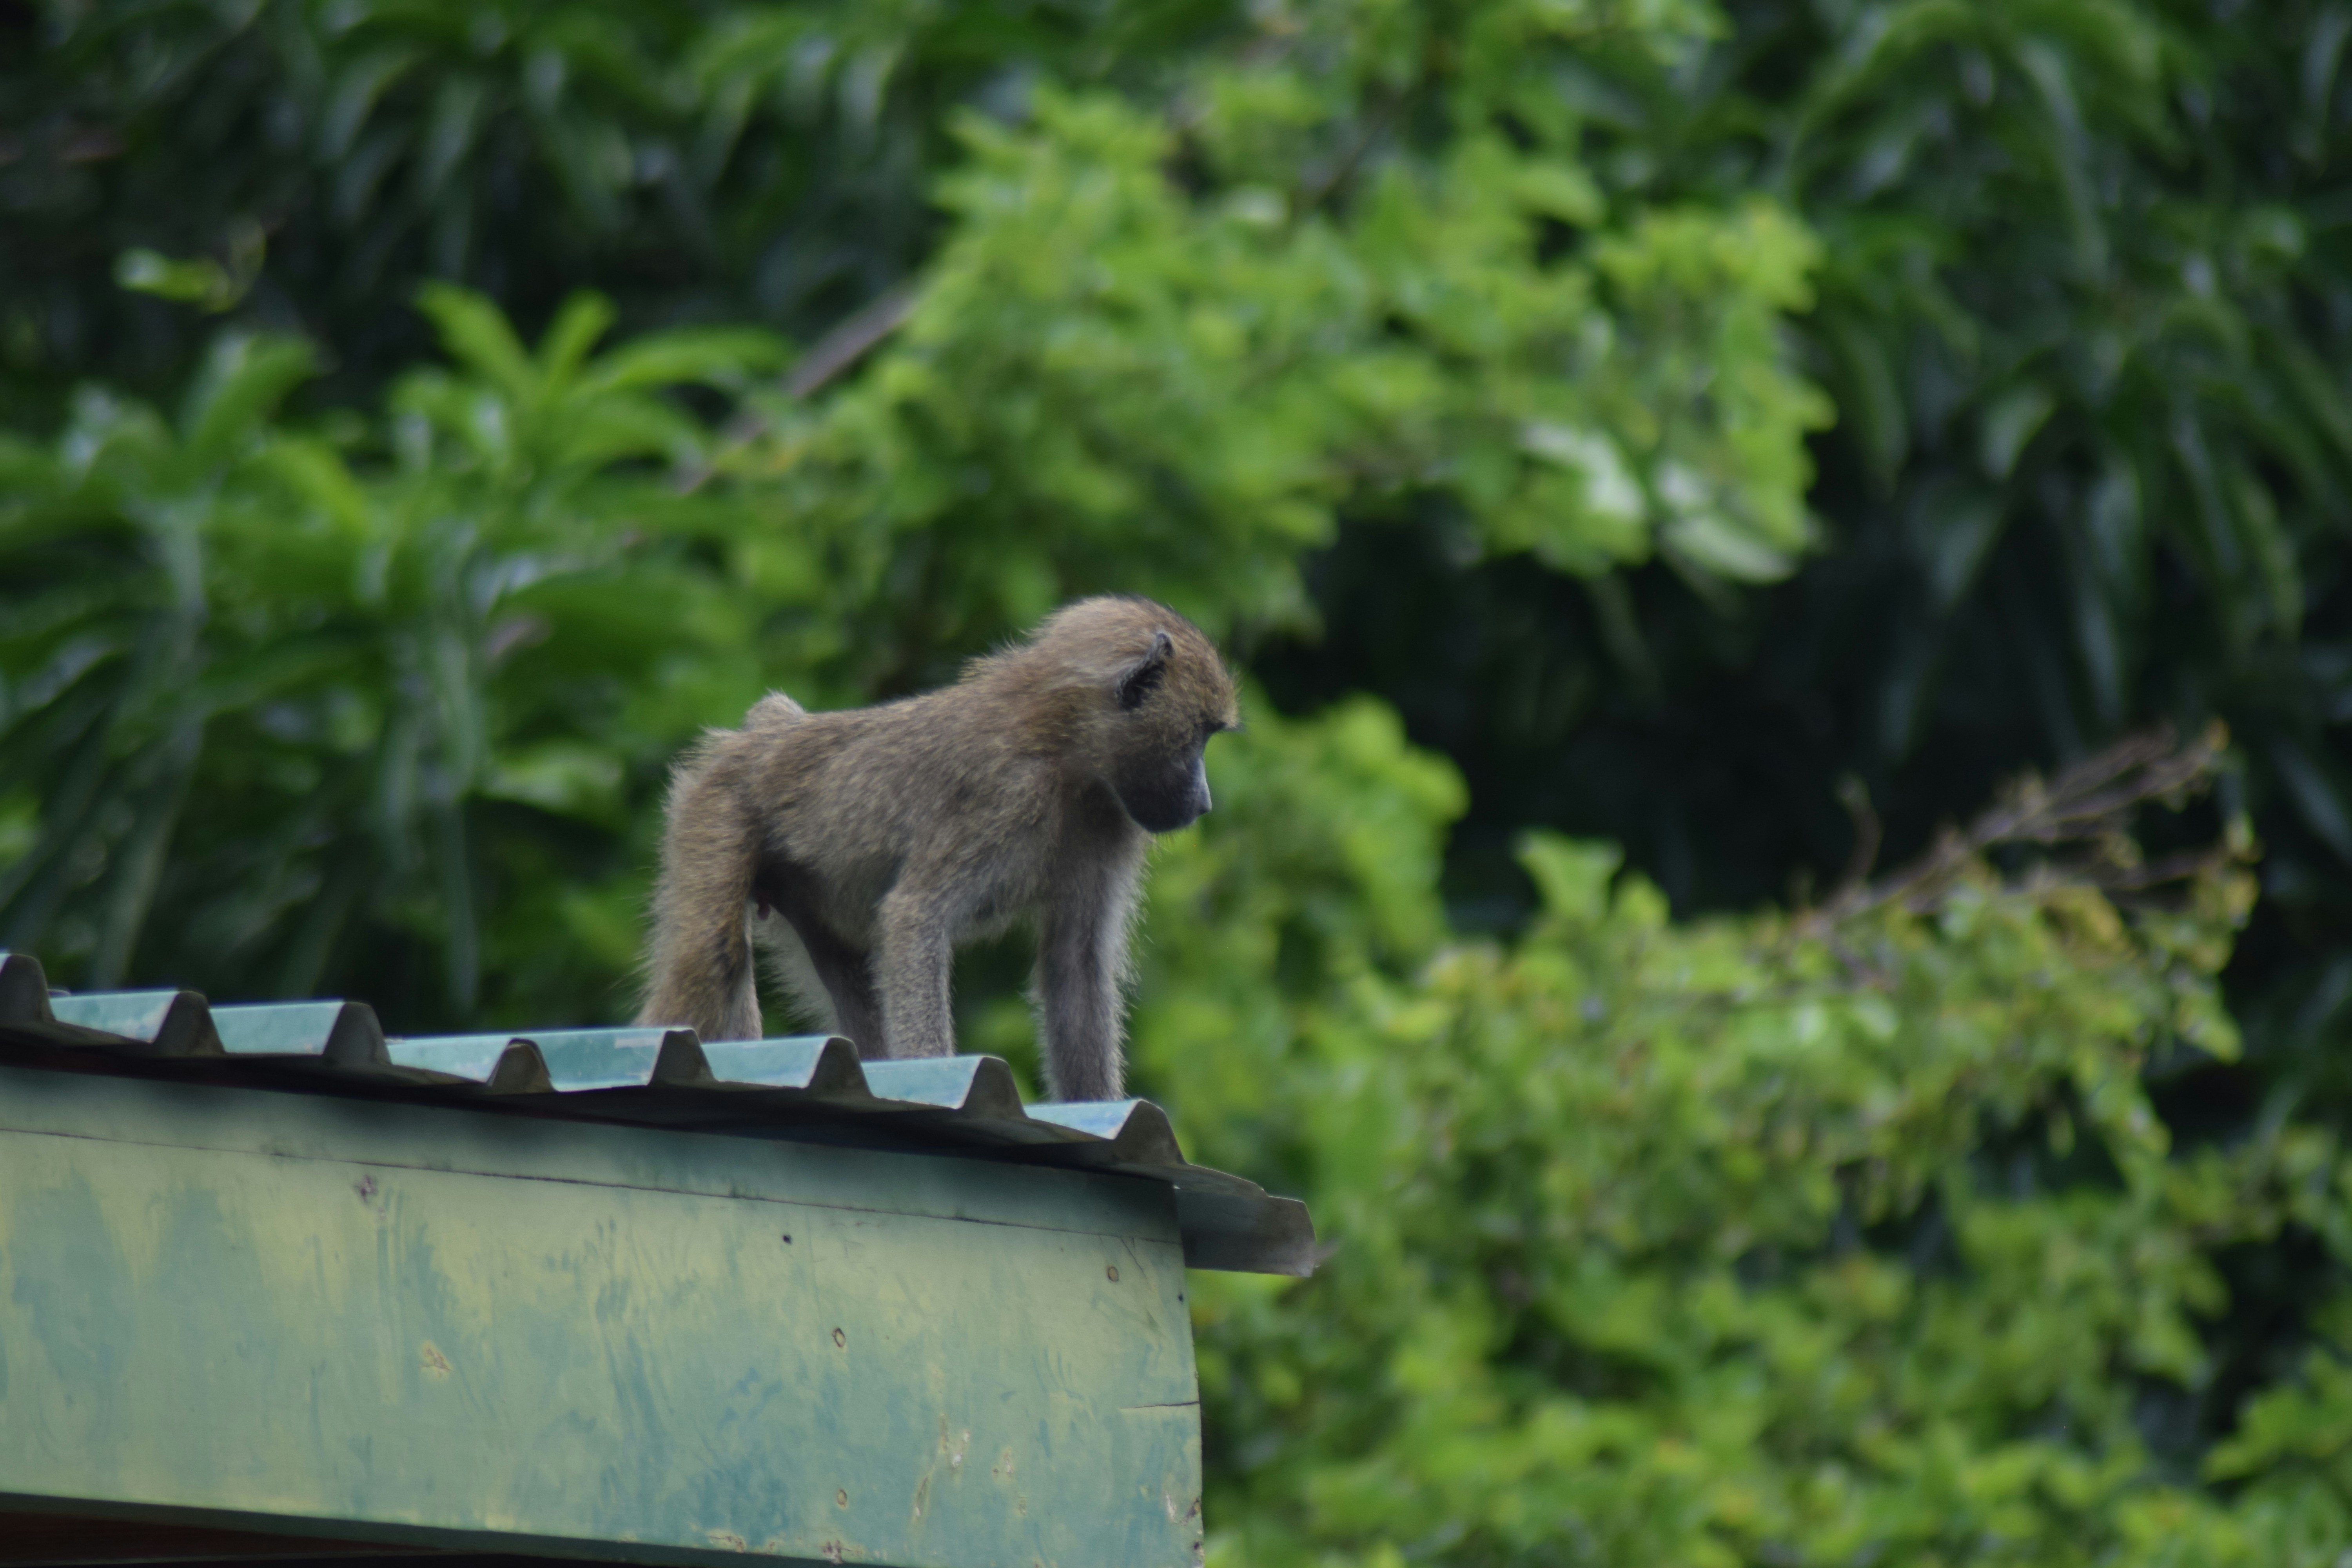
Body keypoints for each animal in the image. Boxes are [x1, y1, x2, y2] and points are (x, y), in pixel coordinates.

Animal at [635, 596, 1240, 1102]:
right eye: (1200, 736)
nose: (1205, 803)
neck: (1066, 748)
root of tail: (757, 741)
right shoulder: (1005, 797)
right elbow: (914, 917)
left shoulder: (1110, 821)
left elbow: (1075, 967)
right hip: (715, 811)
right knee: (711, 957)